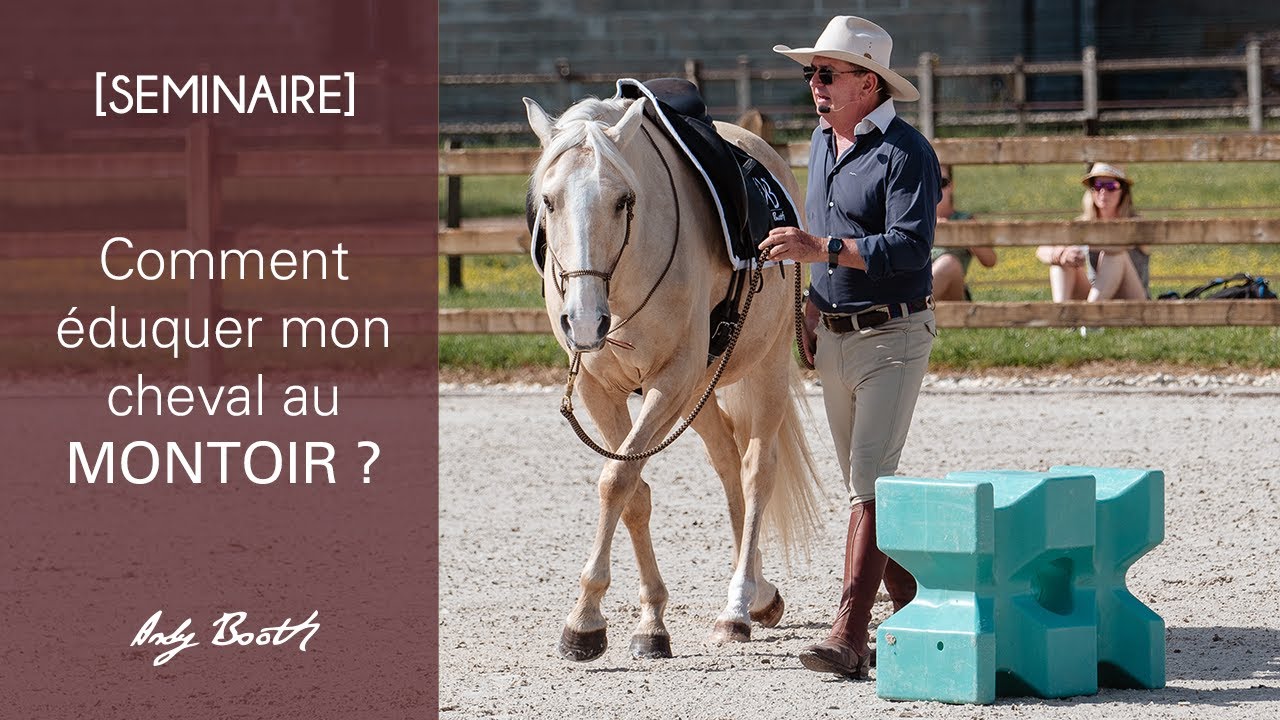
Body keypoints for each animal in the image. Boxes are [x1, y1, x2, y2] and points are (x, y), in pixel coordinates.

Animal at [524, 93, 823, 662]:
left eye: (623, 201)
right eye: (548, 201)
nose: (584, 321)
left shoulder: (671, 381)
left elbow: (617, 480)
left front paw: (584, 621)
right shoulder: (600, 389)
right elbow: (633, 491)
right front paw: (649, 621)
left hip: (765, 366)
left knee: (755, 471)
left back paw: (737, 610)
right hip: (700, 392)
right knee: (728, 464)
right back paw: (757, 594)